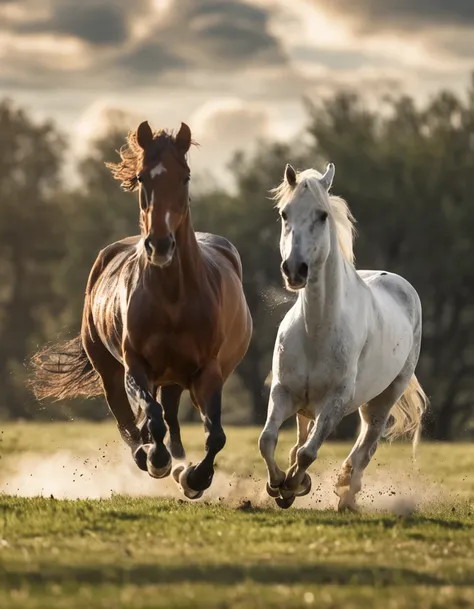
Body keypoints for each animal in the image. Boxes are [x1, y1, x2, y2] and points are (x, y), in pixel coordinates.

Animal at [31, 120, 254, 498]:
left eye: (185, 176)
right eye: (142, 177)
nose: (160, 245)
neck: (174, 297)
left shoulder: (207, 371)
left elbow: (216, 435)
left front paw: (194, 478)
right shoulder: (135, 365)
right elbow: (150, 415)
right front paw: (157, 460)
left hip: (179, 378)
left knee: (171, 416)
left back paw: (178, 463)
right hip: (108, 367)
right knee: (127, 418)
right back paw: (148, 455)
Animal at [260, 162, 430, 508]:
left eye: (322, 215)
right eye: (285, 213)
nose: (294, 269)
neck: (316, 330)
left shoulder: (336, 401)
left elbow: (309, 452)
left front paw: (293, 485)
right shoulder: (283, 391)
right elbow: (268, 439)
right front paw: (277, 485)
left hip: (383, 399)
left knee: (366, 445)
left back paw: (346, 494)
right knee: (304, 433)